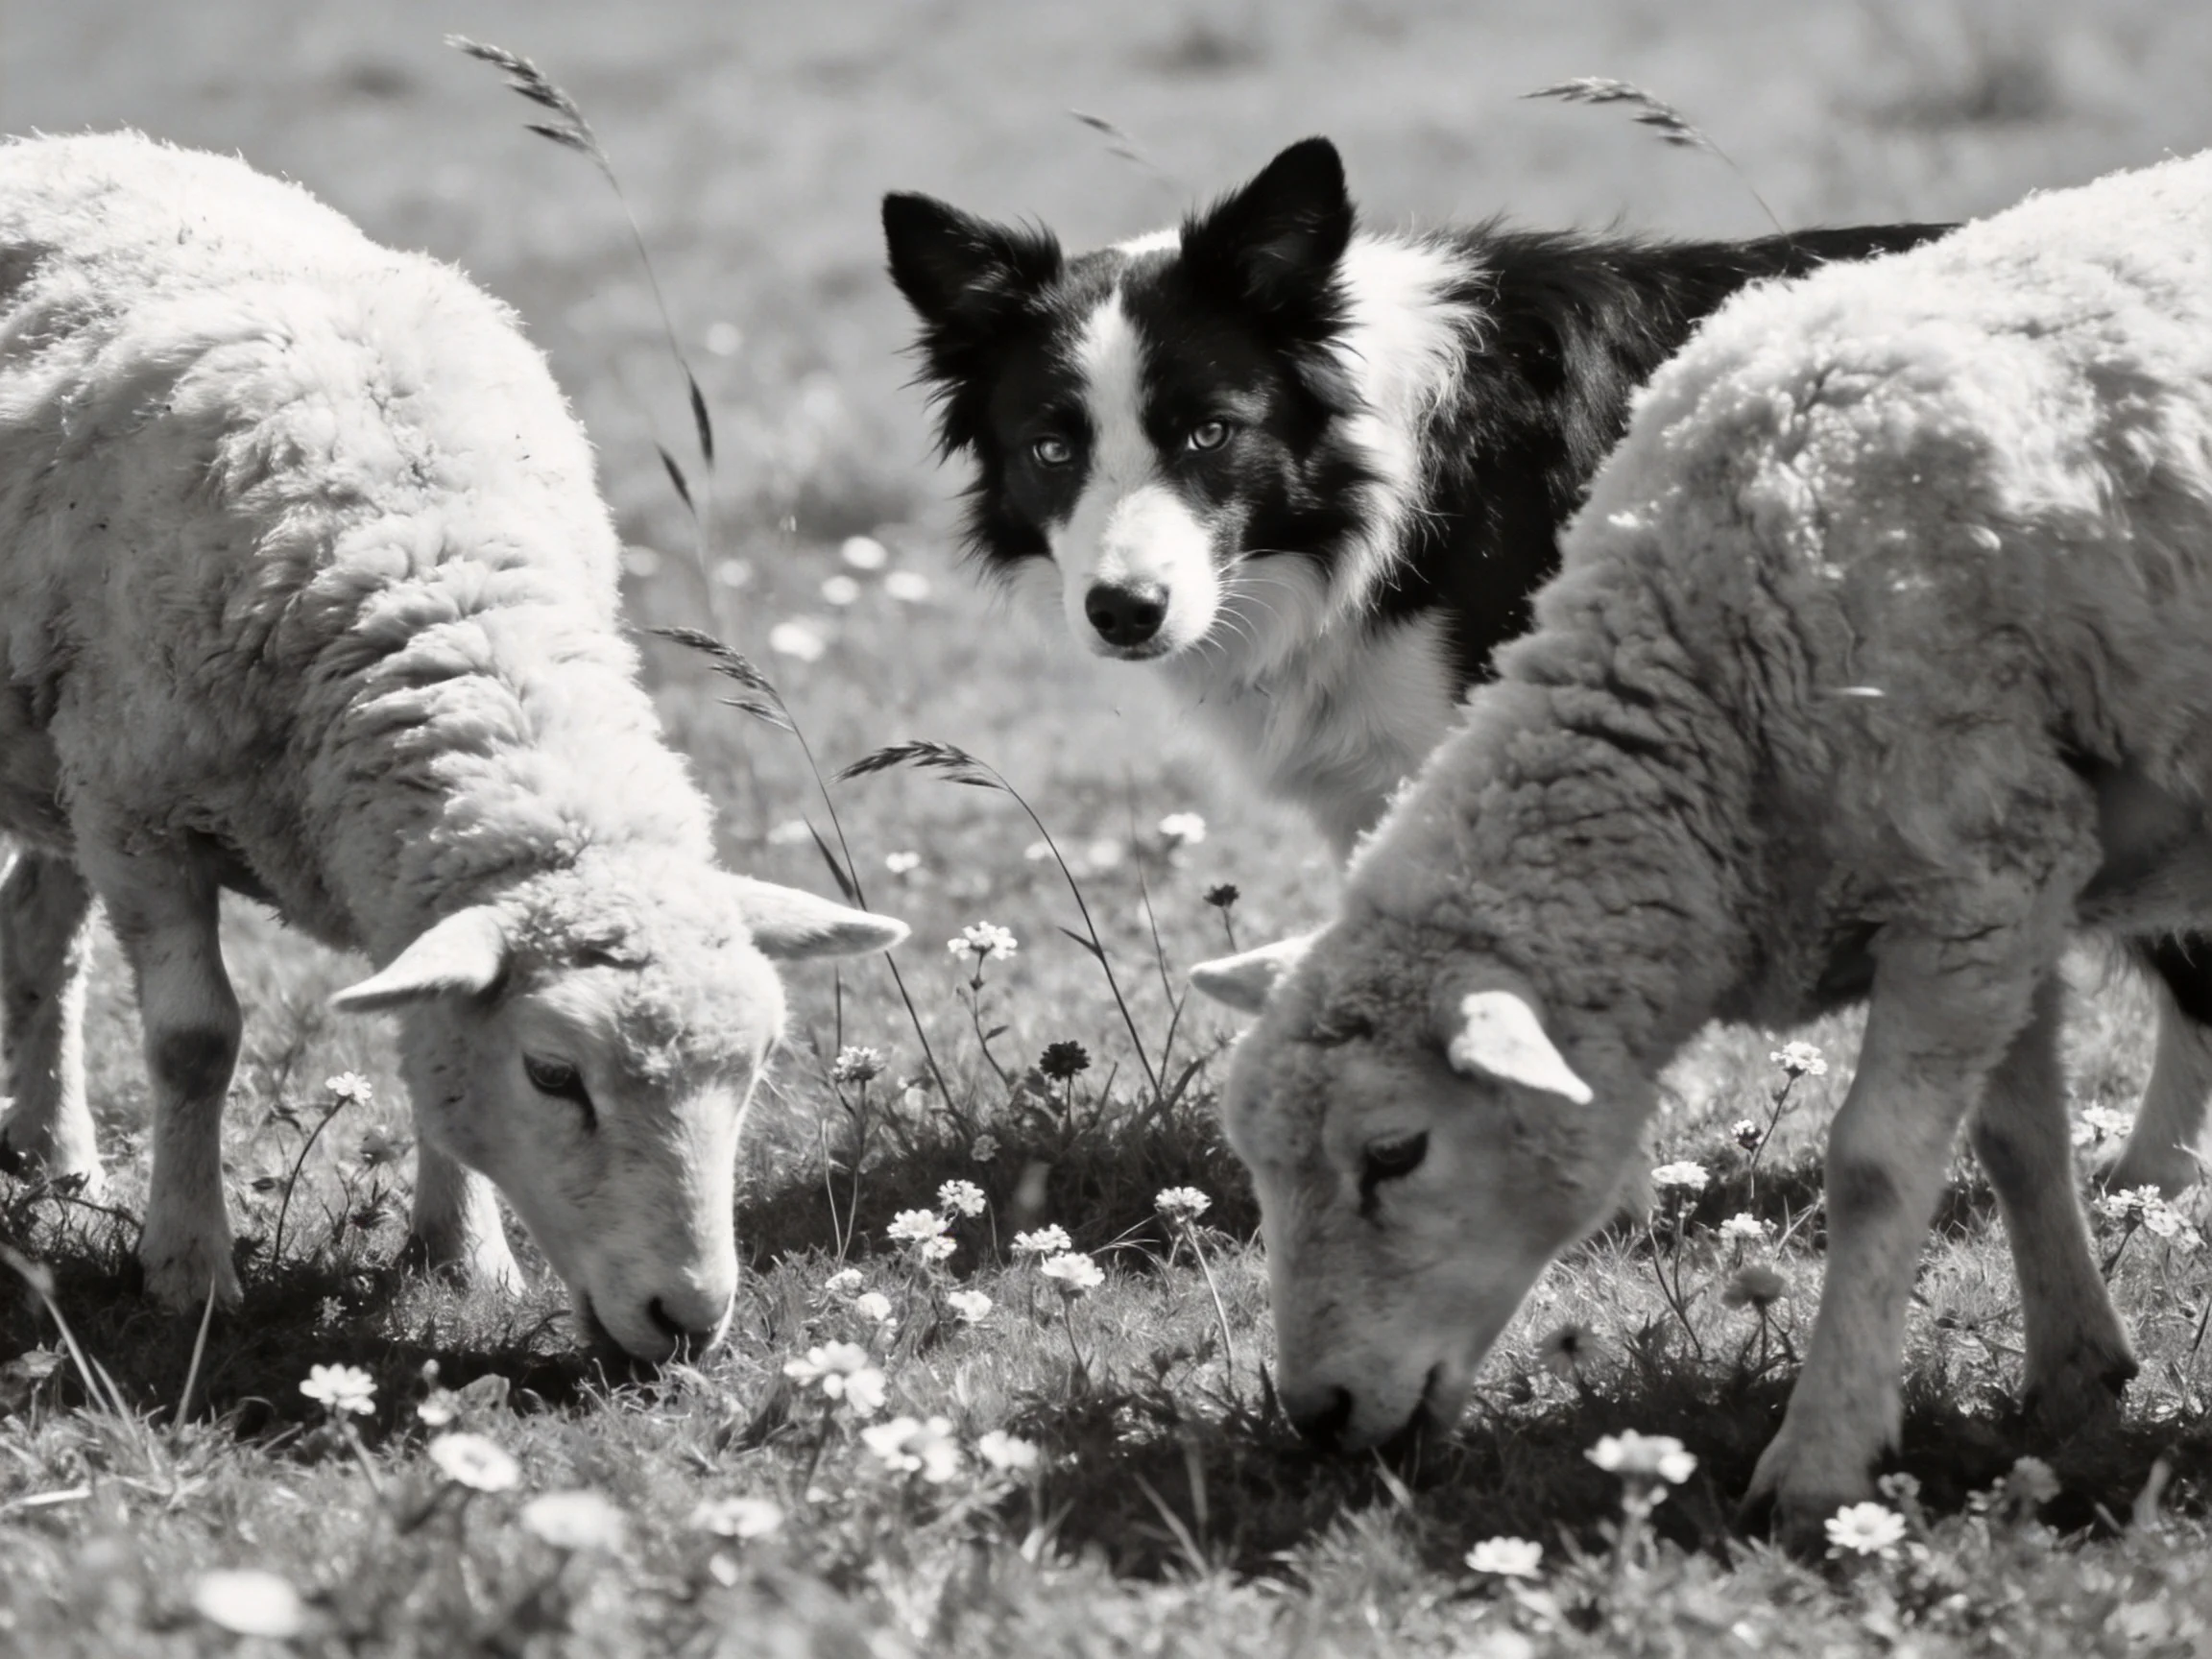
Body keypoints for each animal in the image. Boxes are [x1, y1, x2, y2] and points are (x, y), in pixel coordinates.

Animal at [0, 132, 906, 1360]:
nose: (687, 1321)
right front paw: (188, 1268)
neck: (432, 567)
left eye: (758, 1065)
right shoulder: (142, 818)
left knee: (39, 933)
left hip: (56, 762)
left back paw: (56, 1161)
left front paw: (464, 1261)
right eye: (553, 1074)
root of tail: (64, 143)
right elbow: (194, 1043)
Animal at [1218, 149, 2212, 1540]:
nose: (1316, 1418)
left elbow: (1874, 1168)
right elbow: (2016, 1141)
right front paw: (2076, 1375)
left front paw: (1822, 1455)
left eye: (1395, 1153)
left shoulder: (1970, 863)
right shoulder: (2010, 873)